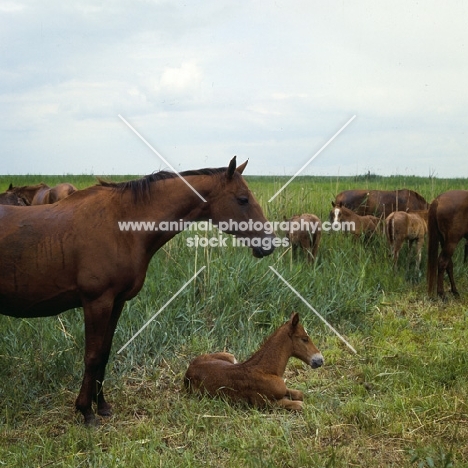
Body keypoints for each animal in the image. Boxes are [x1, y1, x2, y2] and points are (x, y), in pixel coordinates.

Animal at [0, 157, 276, 424]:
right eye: (242, 199)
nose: (269, 243)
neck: (120, 227)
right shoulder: (96, 302)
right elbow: (92, 356)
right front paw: (86, 411)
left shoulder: (116, 302)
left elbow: (104, 354)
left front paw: (102, 406)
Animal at [185, 314, 324, 410]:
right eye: (305, 339)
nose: (320, 360)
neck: (266, 370)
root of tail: (189, 369)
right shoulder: (263, 403)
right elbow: (300, 404)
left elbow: (299, 394)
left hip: (230, 356)